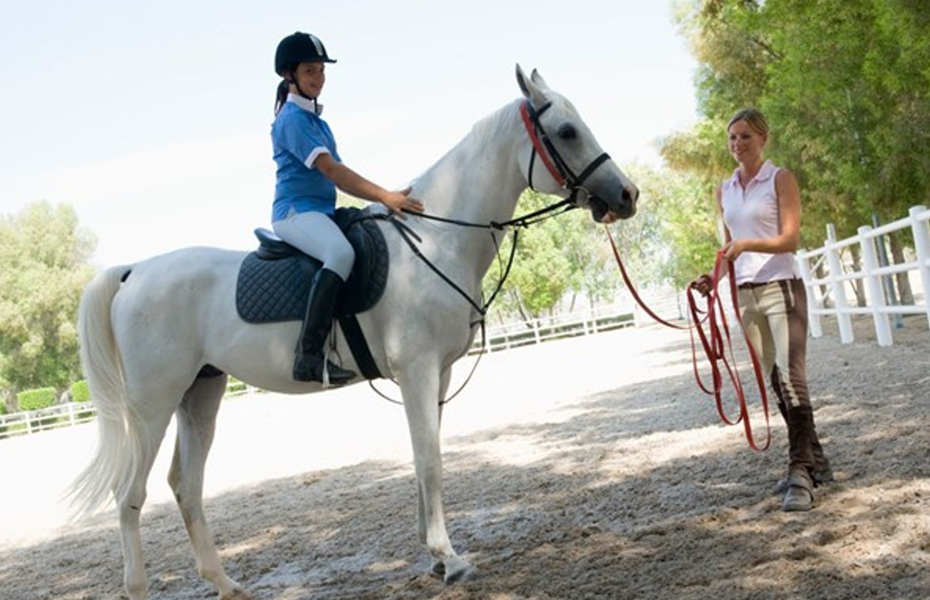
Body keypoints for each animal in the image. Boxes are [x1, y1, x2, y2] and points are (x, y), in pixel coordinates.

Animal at [72, 65, 640, 600]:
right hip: (154, 404)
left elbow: (424, 456)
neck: (437, 237)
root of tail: (135, 271)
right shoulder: (417, 370)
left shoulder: (436, 374)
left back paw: (226, 583)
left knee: (186, 486)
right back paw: (138, 588)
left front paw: (433, 556)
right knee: (130, 494)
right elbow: (430, 461)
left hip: (200, 393)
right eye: (566, 131)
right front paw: (449, 558)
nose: (627, 195)